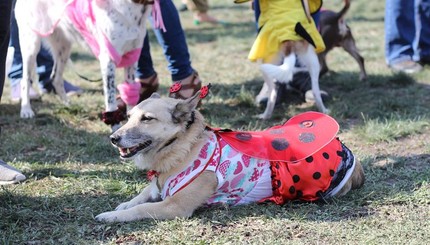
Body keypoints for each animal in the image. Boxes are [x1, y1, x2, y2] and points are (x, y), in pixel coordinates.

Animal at [95, 89, 364, 222]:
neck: (183, 148)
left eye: (147, 119)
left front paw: (111, 215)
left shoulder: (174, 206)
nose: (113, 138)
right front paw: (123, 204)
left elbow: (140, 209)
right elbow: (143, 194)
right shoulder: (158, 186)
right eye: (129, 117)